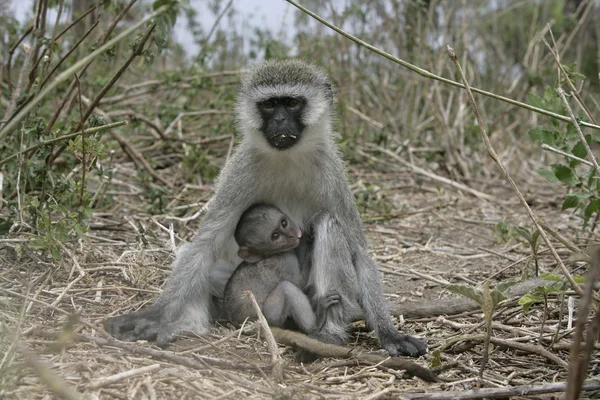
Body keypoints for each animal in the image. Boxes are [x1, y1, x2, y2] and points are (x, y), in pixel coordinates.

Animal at [106, 58, 426, 356]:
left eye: (292, 103)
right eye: (270, 105)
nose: (281, 120)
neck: (288, 157)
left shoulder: (332, 175)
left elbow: (360, 253)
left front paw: (388, 332)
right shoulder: (241, 172)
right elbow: (203, 247)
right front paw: (154, 314)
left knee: (330, 225)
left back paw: (327, 334)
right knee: (194, 255)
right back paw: (187, 326)